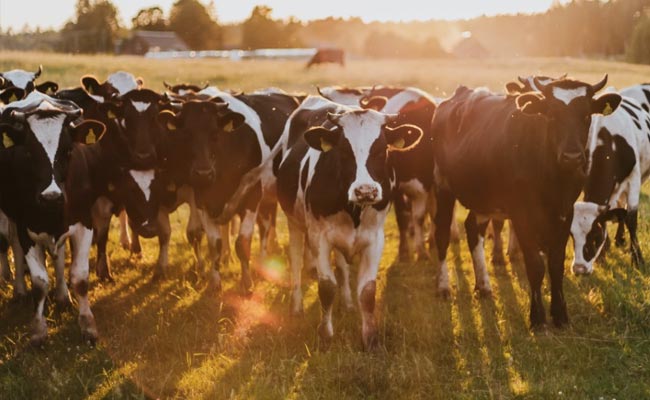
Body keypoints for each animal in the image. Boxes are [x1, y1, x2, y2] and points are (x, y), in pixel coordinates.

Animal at [0, 92, 107, 344]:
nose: (51, 197)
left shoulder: (84, 224)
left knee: (59, 257)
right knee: (15, 247)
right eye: (29, 153)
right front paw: (38, 330)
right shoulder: (25, 227)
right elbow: (39, 282)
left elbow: (80, 278)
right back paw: (20, 290)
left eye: (68, 151)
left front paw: (88, 326)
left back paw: (62, 295)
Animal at [157, 88, 303, 293]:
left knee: (265, 228)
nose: (203, 173)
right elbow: (214, 244)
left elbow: (242, 243)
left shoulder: (252, 197)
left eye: (215, 134)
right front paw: (215, 282)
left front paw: (247, 284)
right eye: (186, 133)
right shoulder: (202, 201)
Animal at [270, 95, 422, 349]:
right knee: (296, 261)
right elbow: (326, 287)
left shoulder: (375, 238)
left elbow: (368, 291)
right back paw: (297, 307)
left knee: (342, 266)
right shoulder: (319, 237)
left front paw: (370, 339)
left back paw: (348, 304)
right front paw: (325, 335)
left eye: (382, 149)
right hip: (295, 223)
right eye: (343, 150)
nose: (365, 190)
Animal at [431, 76, 621, 328]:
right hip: (442, 185)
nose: (571, 157)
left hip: (484, 198)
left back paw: (483, 285)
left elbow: (556, 264)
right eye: (551, 115)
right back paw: (443, 286)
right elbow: (535, 264)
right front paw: (538, 317)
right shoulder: (521, 213)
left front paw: (560, 314)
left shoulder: (565, 211)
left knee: (473, 229)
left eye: (586, 116)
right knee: (442, 234)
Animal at [571, 86, 650, 274]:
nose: (579, 269)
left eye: (595, 235)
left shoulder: (634, 179)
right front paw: (602, 255)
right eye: (571, 236)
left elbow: (631, 218)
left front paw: (638, 259)